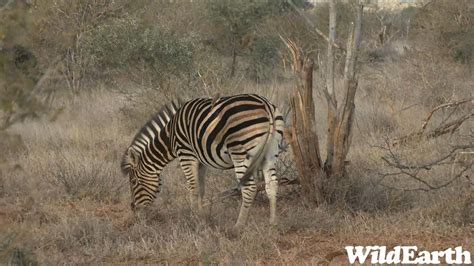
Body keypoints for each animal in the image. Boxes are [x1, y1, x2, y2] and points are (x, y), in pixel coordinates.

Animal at [122, 94, 286, 229]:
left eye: (134, 182)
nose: (133, 209)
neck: (170, 135)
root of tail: (266, 105)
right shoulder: (201, 161)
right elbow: (201, 188)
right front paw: (201, 216)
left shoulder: (186, 154)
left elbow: (193, 188)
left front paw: (193, 217)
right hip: (271, 154)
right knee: (272, 184)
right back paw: (273, 223)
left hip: (240, 151)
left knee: (249, 188)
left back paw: (238, 226)